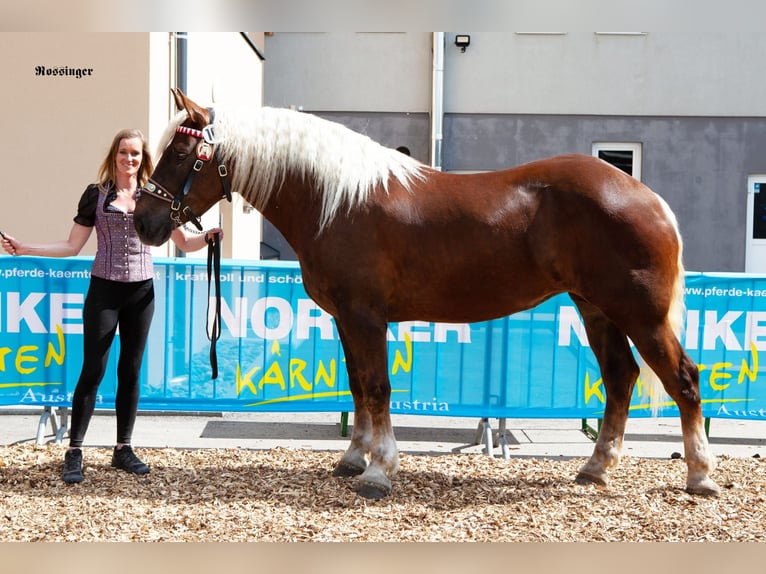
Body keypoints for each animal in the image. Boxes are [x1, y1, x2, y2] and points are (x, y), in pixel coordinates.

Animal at [135, 89, 720, 499]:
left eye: (182, 152)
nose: (143, 221)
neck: (335, 199)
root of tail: (648, 197)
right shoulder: (345, 319)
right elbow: (358, 387)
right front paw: (353, 458)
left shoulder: (365, 316)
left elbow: (378, 387)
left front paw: (378, 472)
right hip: (596, 308)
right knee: (620, 377)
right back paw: (595, 469)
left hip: (641, 314)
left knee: (684, 379)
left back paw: (699, 476)